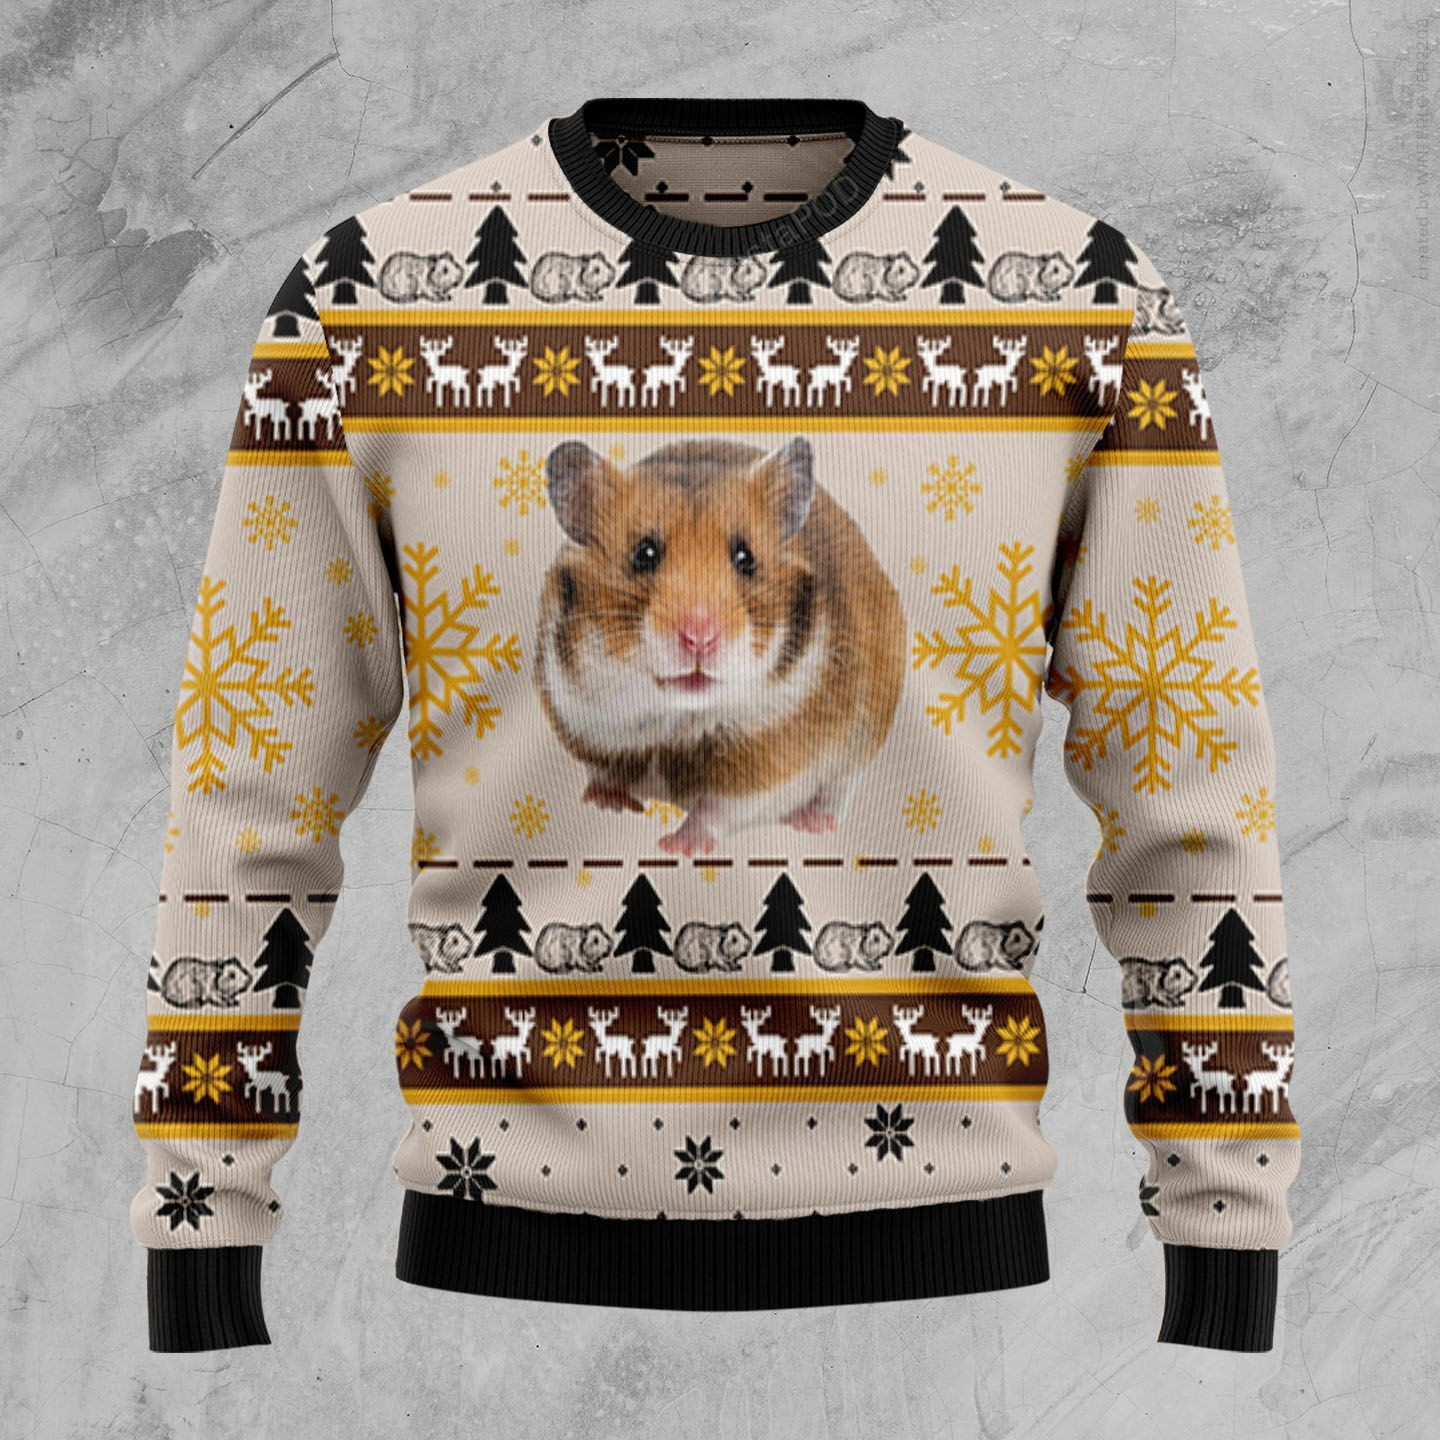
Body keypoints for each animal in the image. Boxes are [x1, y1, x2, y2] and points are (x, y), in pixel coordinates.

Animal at [534, 436, 906, 856]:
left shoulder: (768, 760)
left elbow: (716, 807)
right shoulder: (585, 720)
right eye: (644, 554)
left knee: (838, 789)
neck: (677, 717)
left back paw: (814, 823)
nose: (700, 637)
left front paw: (677, 847)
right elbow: (604, 769)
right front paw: (606, 803)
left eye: (746, 558)